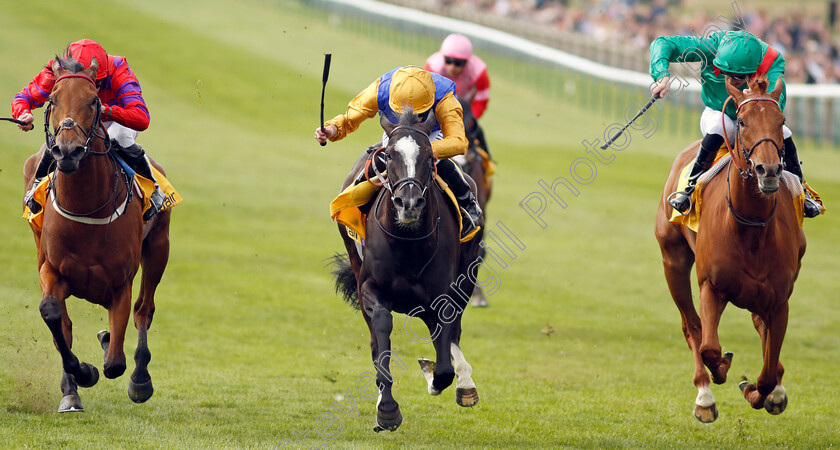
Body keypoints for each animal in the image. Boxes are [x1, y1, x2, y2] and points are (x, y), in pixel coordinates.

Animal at [23, 51, 171, 412]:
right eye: (51, 99)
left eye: (93, 101)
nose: (67, 150)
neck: (87, 205)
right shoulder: (51, 268)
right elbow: (54, 316)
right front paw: (80, 376)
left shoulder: (120, 283)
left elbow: (115, 362)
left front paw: (106, 359)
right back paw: (72, 390)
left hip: (159, 247)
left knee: (144, 311)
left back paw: (140, 379)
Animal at [332, 107, 482, 430]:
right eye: (388, 155)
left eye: (429, 156)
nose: (409, 203)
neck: (408, 242)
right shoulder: (370, 288)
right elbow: (381, 333)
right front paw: (387, 409)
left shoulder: (443, 294)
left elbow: (444, 365)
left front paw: (438, 375)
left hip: (468, 273)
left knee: (453, 331)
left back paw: (465, 383)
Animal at [656, 77, 808, 422]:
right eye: (741, 121)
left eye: (781, 121)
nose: (768, 170)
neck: (751, 227)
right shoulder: (712, 287)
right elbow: (709, 347)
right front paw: (722, 370)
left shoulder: (780, 299)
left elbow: (767, 372)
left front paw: (763, 392)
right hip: (673, 260)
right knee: (692, 326)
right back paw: (704, 395)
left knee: (760, 331)